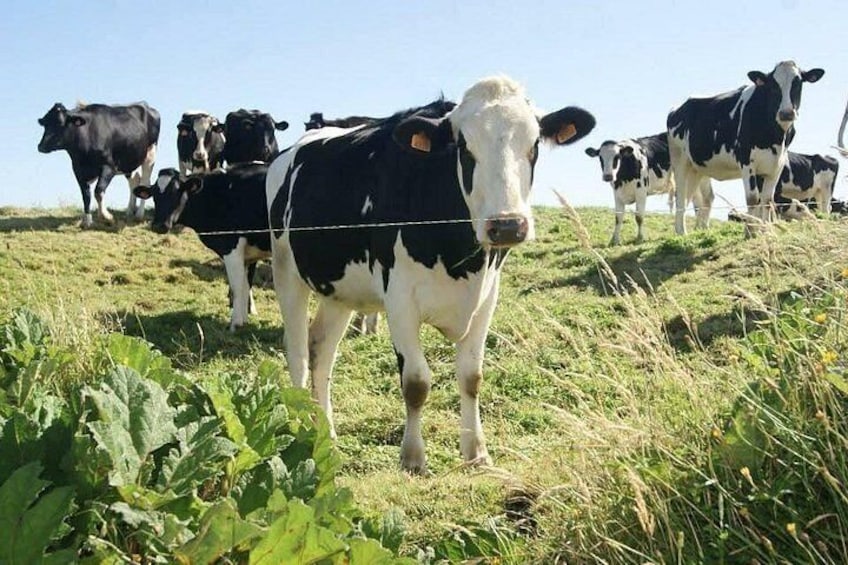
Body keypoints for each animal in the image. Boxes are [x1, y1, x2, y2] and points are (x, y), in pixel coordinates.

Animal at [133, 163, 271, 331]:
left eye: (177, 192)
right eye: (154, 195)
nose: (159, 225)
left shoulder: (231, 246)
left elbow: (237, 286)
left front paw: (235, 324)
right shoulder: (248, 255)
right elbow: (246, 286)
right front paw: (243, 320)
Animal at [266, 76, 595, 473]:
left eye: (533, 145)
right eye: (464, 147)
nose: (507, 225)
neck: (459, 260)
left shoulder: (487, 297)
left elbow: (471, 377)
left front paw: (476, 452)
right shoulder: (399, 300)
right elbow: (416, 382)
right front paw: (412, 458)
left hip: (340, 289)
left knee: (321, 350)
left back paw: (326, 434)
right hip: (286, 270)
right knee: (298, 352)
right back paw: (303, 430)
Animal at [667, 61, 825, 236]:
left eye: (798, 83)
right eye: (773, 86)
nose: (786, 113)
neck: (775, 137)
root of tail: (678, 108)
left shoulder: (777, 165)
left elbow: (767, 200)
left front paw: (766, 231)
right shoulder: (746, 162)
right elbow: (752, 198)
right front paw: (750, 231)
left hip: (697, 168)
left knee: (694, 197)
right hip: (679, 160)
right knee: (680, 195)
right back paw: (681, 232)